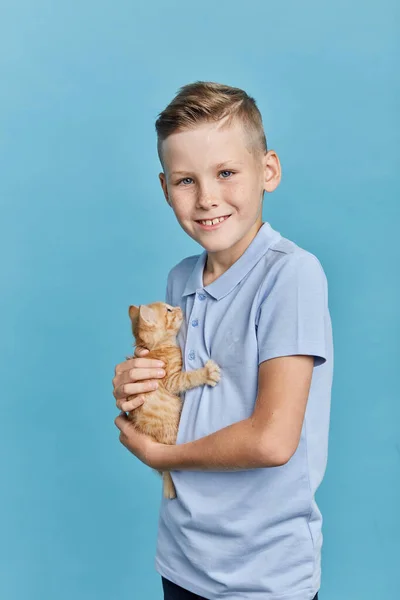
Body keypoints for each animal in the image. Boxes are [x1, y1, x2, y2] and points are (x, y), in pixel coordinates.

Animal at [126, 302, 222, 500]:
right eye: (168, 310)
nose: (178, 307)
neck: (158, 347)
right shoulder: (170, 380)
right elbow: (188, 378)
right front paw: (207, 373)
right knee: (167, 466)